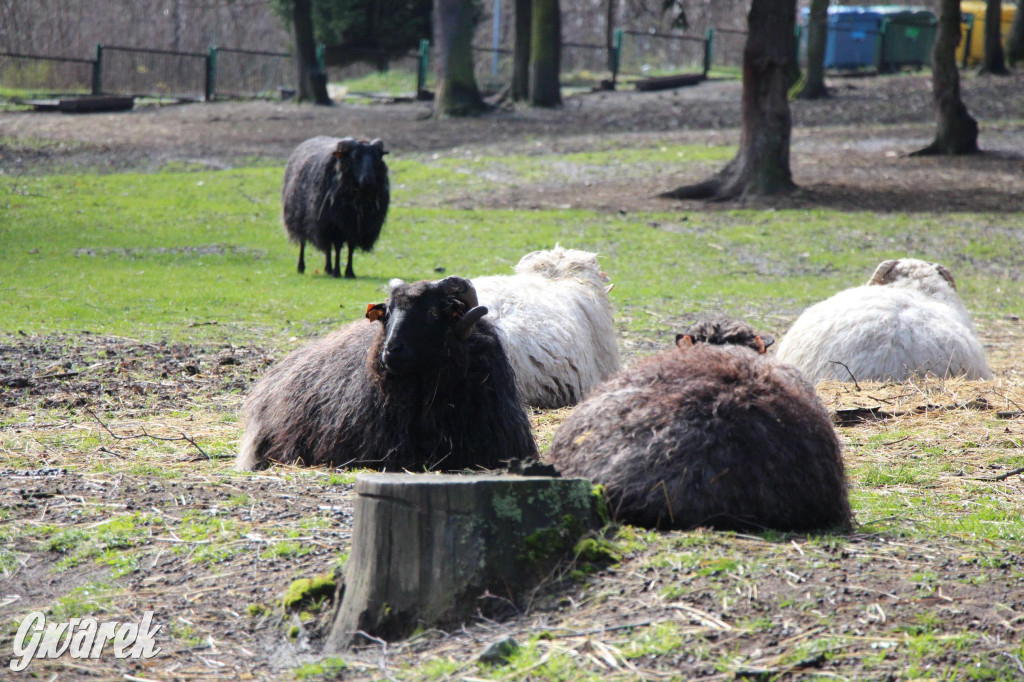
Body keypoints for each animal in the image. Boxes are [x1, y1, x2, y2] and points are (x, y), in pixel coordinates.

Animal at [282, 134, 389, 278]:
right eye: (355, 156)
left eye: (377, 157)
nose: (369, 179)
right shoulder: (335, 224)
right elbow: (338, 248)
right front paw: (338, 271)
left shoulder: (354, 225)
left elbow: (350, 247)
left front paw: (349, 272)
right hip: (301, 218)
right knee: (303, 242)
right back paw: (301, 267)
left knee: (327, 247)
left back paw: (328, 268)